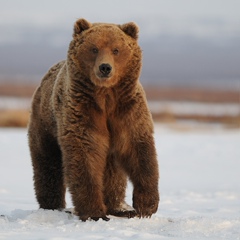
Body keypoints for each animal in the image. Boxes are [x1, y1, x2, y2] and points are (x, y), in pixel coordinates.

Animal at [27, 18, 159, 221]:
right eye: (94, 48)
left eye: (116, 49)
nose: (105, 67)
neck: (106, 95)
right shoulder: (82, 109)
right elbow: (85, 154)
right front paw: (94, 212)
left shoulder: (127, 109)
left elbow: (139, 150)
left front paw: (145, 205)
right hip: (45, 123)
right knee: (47, 163)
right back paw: (53, 206)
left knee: (113, 170)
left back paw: (119, 207)